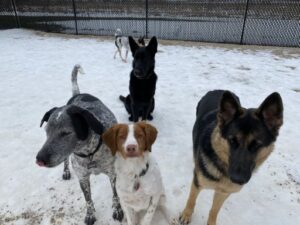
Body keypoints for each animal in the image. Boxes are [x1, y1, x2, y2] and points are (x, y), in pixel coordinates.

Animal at [35, 64, 123, 224]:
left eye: (65, 133)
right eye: (46, 131)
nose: (39, 159)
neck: (90, 153)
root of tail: (78, 94)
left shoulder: (112, 172)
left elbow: (115, 194)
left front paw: (118, 210)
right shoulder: (82, 177)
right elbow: (88, 199)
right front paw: (90, 214)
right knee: (66, 160)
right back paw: (66, 171)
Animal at [180, 90, 284, 225]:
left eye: (257, 145)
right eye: (232, 140)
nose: (237, 179)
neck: (222, 171)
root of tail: (217, 90)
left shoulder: (224, 193)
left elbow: (214, 210)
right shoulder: (197, 183)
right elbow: (191, 200)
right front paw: (186, 215)